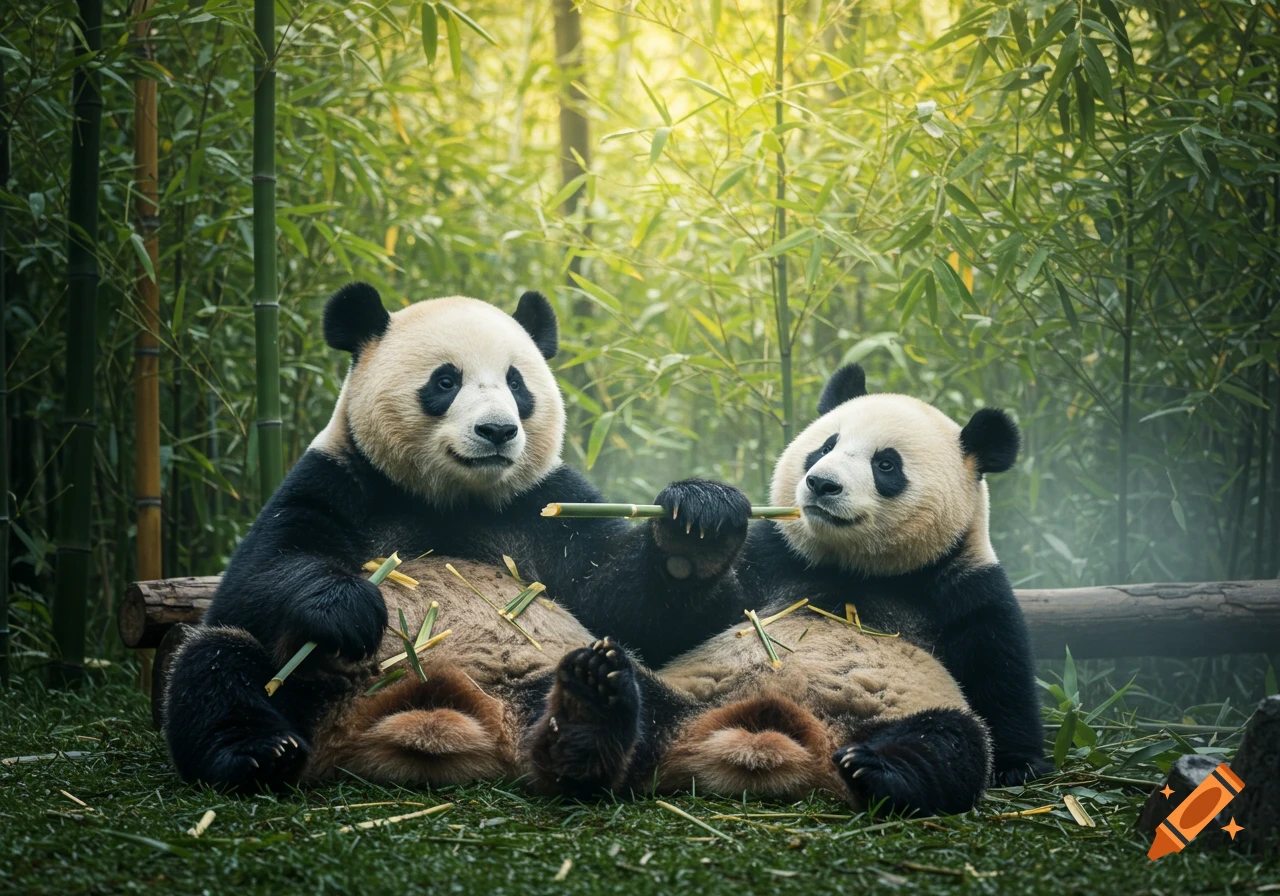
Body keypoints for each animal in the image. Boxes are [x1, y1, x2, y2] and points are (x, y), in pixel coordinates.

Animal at [162, 282, 750, 789]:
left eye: (516, 383)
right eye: (446, 381)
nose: (497, 431)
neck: (453, 498)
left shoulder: (545, 502)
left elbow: (626, 605)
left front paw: (697, 527)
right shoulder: (337, 478)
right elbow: (258, 576)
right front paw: (347, 607)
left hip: (551, 674)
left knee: (648, 695)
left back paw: (588, 716)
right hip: (308, 685)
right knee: (219, 660)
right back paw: (260, 753)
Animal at [529, 365, 1045, 813]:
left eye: (886, 464)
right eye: (825, 447)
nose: (821, 483)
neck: (852, 570)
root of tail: (772, 734)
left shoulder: (963, 589)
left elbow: (1000, 676)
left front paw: (1020, 767)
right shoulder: (770, 561)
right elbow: (655, 624)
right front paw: (697, 529)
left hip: (894, 713)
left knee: (951, 741)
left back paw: (878, 770)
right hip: (688, 694)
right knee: (636, 695)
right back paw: (590, 708)